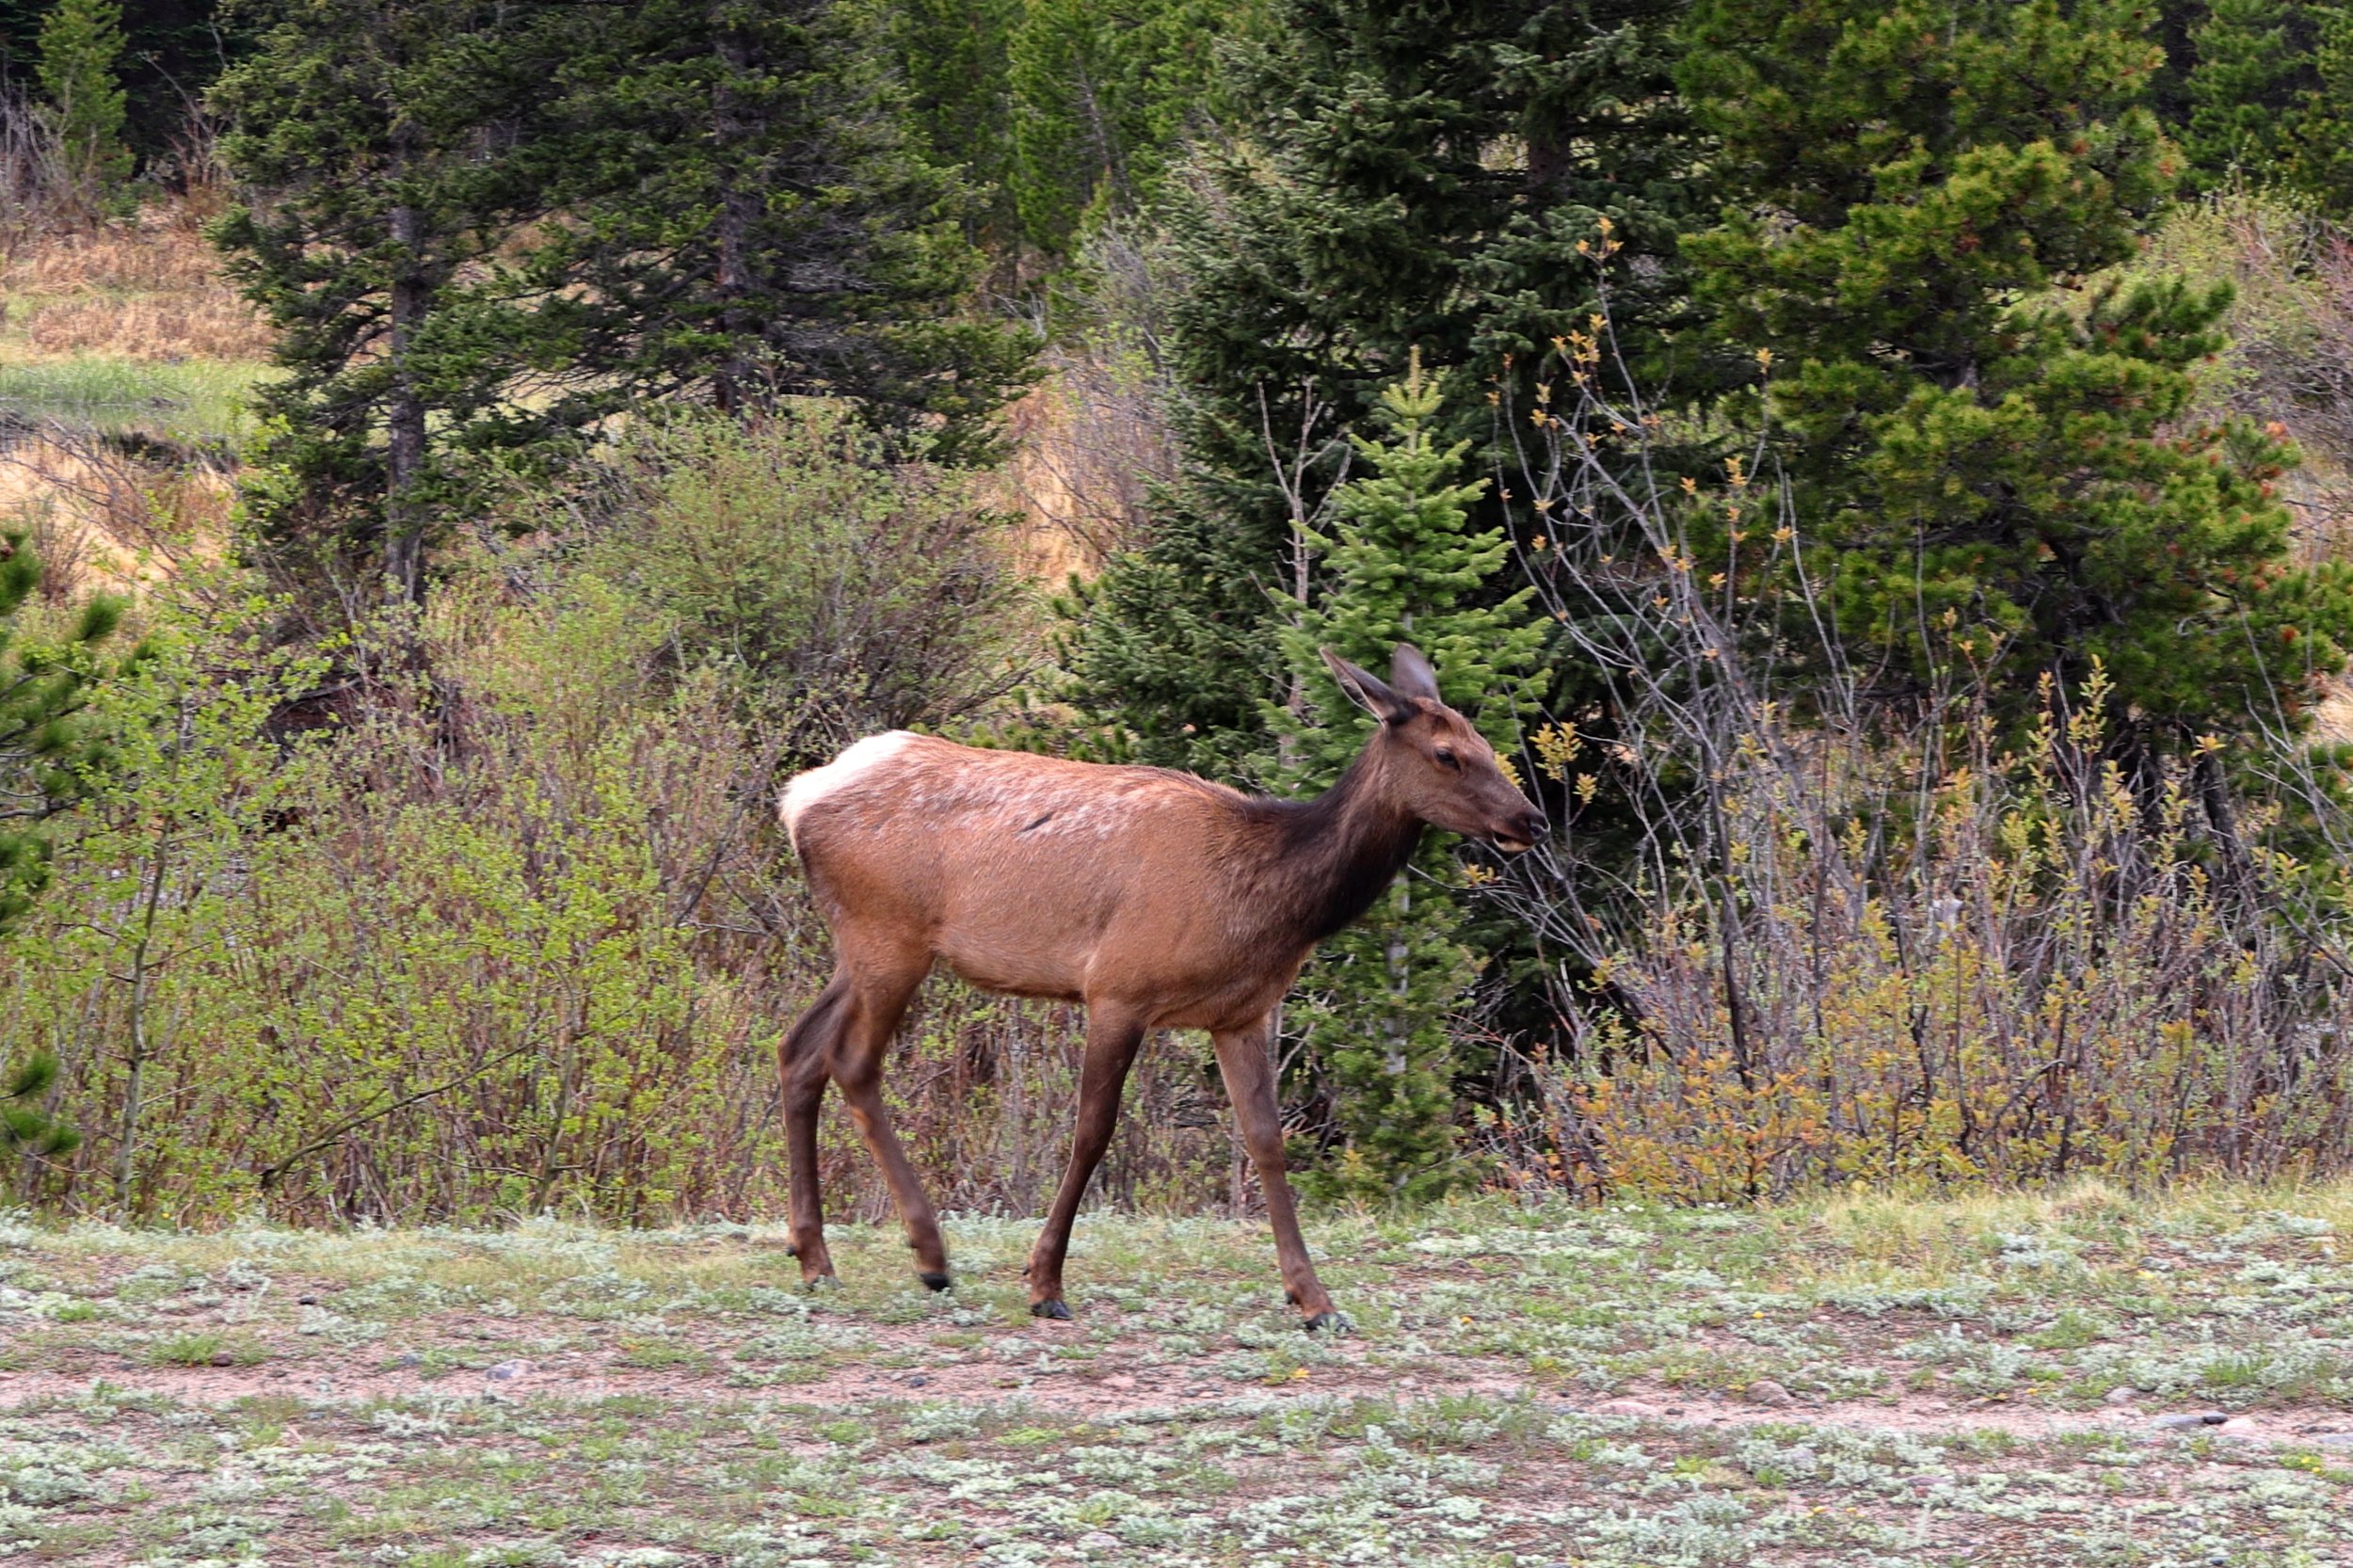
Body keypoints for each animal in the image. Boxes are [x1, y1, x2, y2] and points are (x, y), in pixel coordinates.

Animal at [775, 644, 1546, 1329]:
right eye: (1447, 754)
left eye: (1483, 740)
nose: (1530, 819)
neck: (1269, 900)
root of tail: (797, 799)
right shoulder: (1118, 988)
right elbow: (1092, 1131)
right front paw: (1045, 1283)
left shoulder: (1242, 1013)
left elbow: (1266, 1141)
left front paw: (1314, 1300)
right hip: (890, 937)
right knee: (852, 1061)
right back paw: (929, 1255)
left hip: (861, 947)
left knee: (799, 1048)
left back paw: (816, 1260)